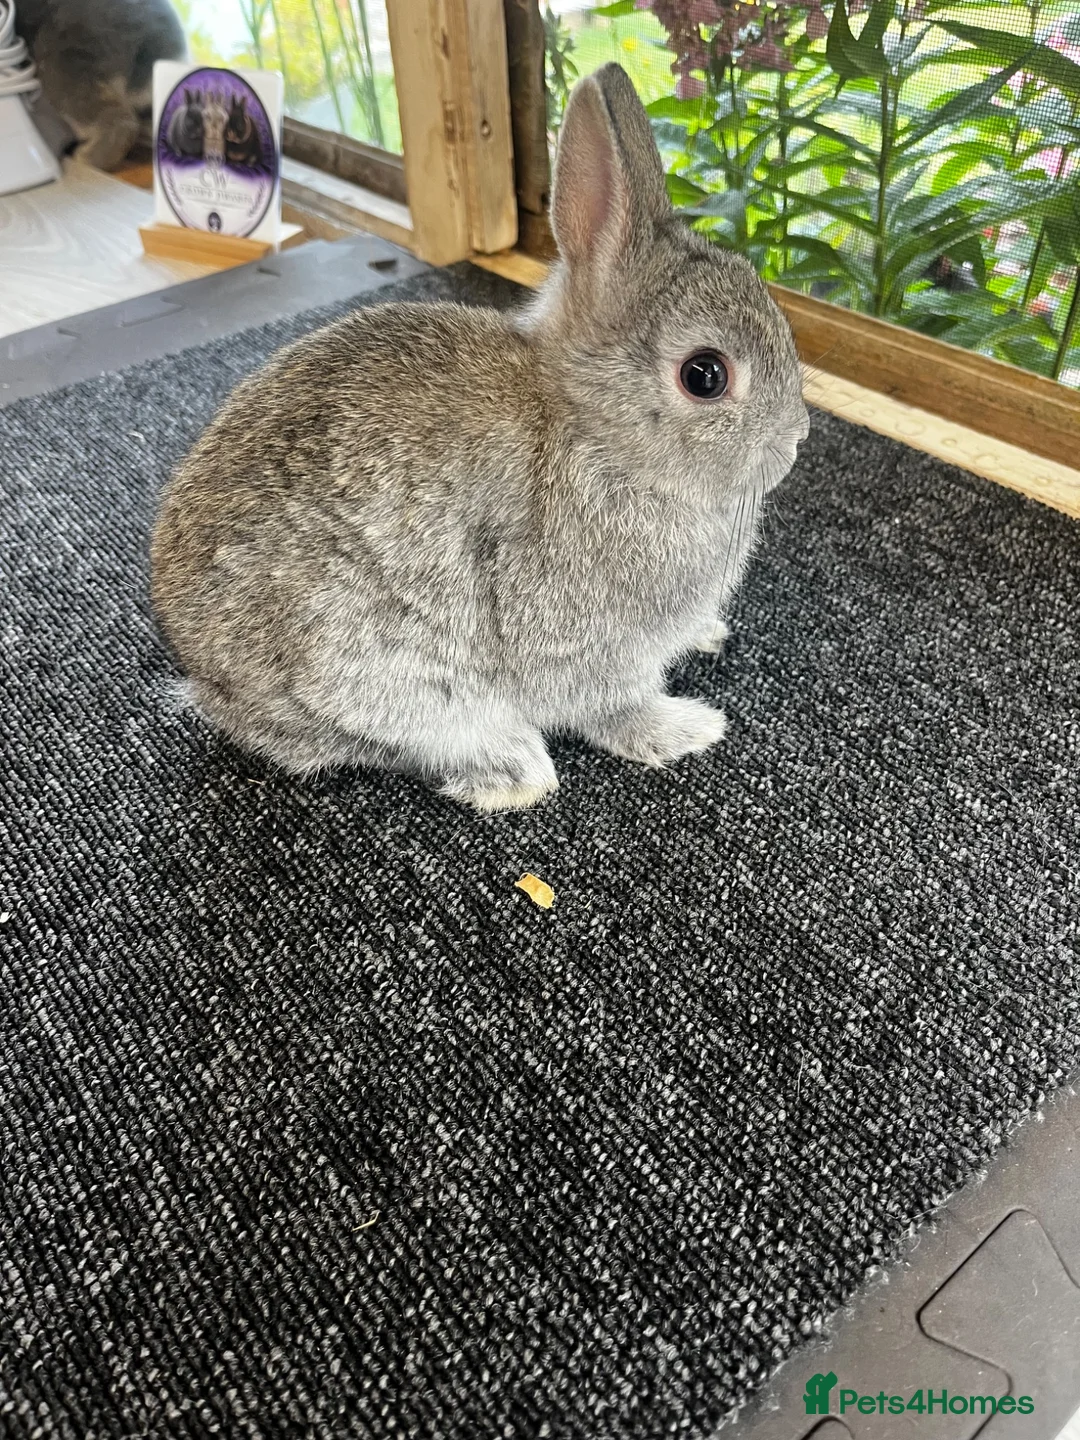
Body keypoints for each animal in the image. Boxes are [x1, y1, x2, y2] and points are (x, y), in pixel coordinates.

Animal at [151, 63, 809, 813]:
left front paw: (708, 635)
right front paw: (686, 729)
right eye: (705, 375)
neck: (594, 433)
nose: (795, 441)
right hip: (379, 673)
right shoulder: (582, 646)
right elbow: (615, 706)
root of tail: (209, 682)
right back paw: (514, 771)